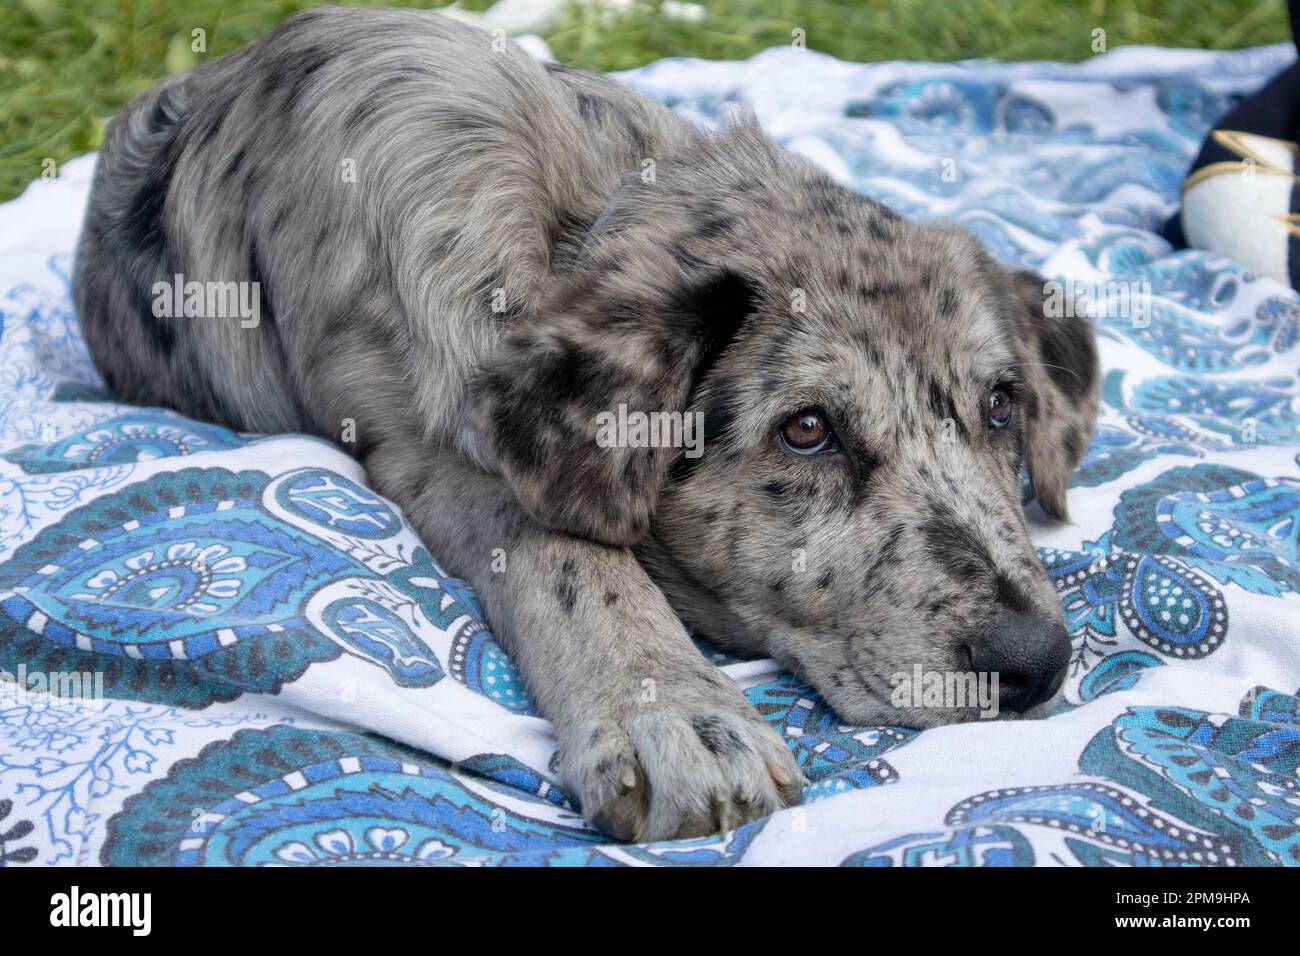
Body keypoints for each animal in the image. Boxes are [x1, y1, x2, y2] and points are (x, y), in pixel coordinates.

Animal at [71, 9, 1097, 842]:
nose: (1036, 663)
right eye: (806, 430)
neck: (572, 215)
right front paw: (670, 713)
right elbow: (571, 560)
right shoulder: (430, 450)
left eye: (1001, 407)